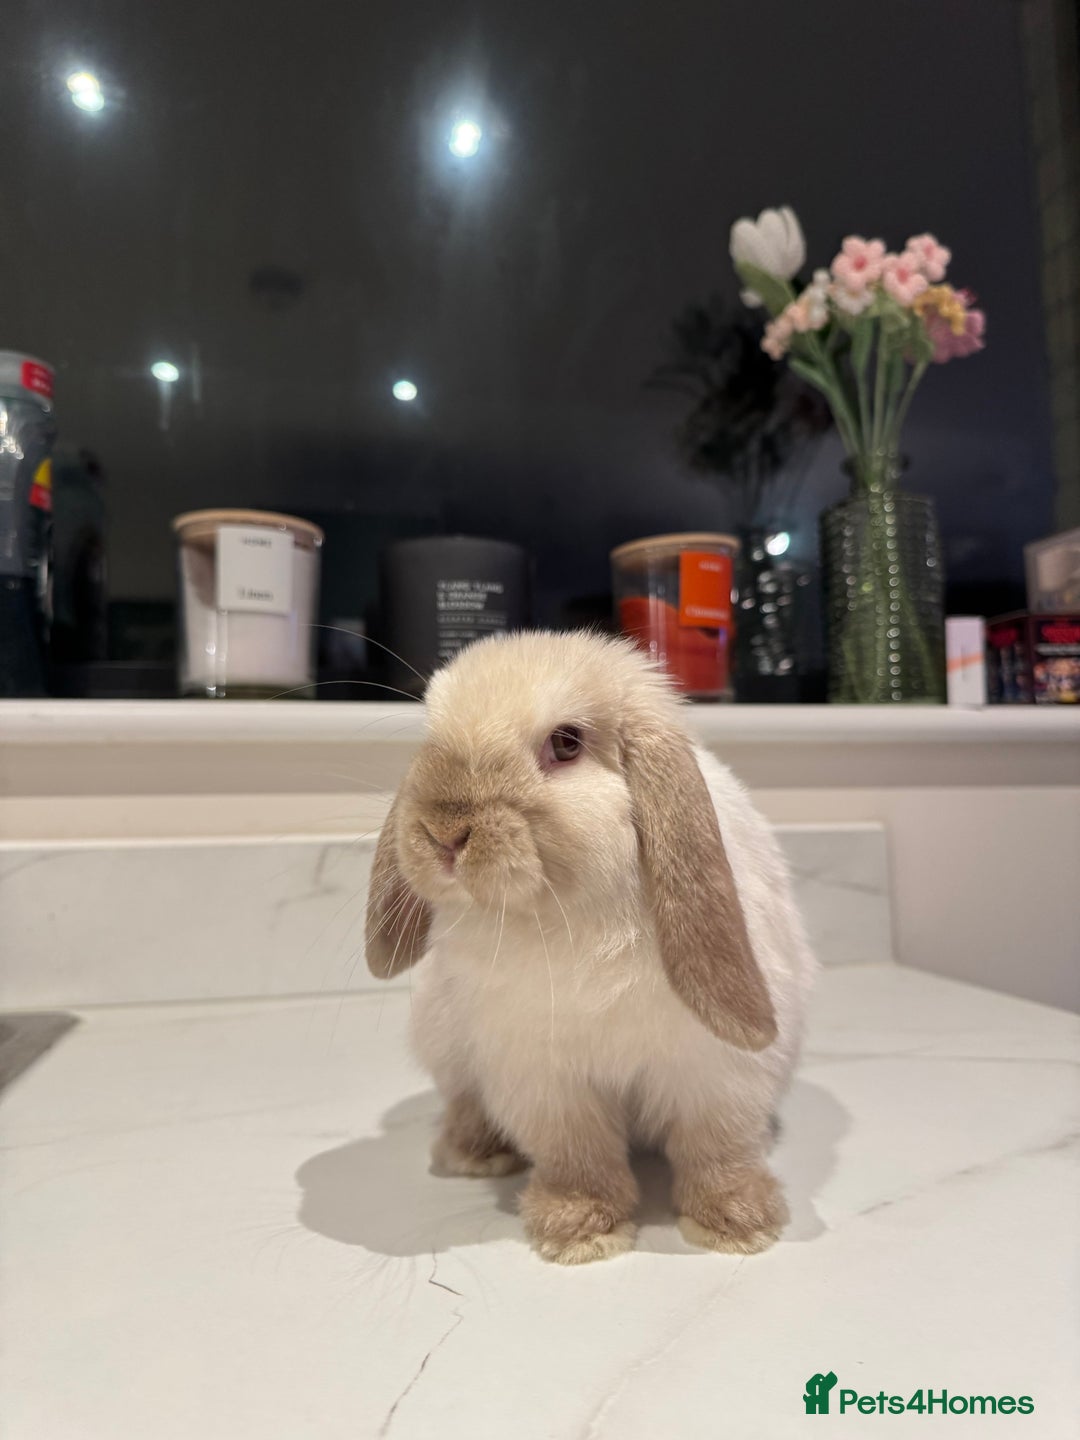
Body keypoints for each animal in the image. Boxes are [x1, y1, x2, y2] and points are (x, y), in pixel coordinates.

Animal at [365, 629, 817, 1265]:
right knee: (465, 1103)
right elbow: (579, 1158)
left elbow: (718, 1150)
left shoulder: (716, 1075)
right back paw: (473, 1154)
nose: (443, 833)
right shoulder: (546, 1082)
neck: (567, 913)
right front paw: (579, 1231)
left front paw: (739, 1225)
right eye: (432, 735)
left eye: (566, 743)